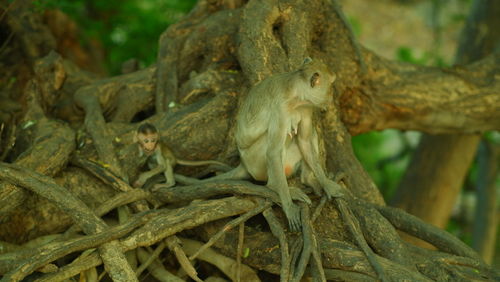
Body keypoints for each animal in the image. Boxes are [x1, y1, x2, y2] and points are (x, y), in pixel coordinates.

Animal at [206, 57, 340, 231]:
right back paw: (275, 187)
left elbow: (304, 141)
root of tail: (243, 164)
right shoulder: (280, 109)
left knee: (309, 135)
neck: (296, 96)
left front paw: (326, 184)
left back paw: (307, 179)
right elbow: (273, 152)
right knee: (272, 144)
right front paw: (289, 207)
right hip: (254, 163)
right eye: (331, 85)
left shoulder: (306, 107)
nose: (331, 95)